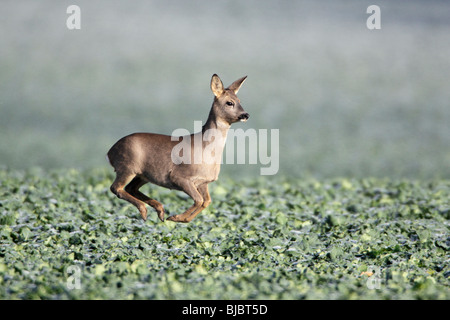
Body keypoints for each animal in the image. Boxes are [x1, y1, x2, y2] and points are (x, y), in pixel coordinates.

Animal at [107, 74, 250, 222]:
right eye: (229, 102)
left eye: (239, 100)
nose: (245, 115)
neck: (204, 148)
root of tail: (110, 152)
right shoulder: (179, 177)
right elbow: (199, 200)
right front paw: (175, 217)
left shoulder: (203, 182)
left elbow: (206, 201)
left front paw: (181, 218)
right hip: (127, 167)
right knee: (116, 188)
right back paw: (145, 211)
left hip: (142, 174)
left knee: (130, 188)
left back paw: (160, 211)